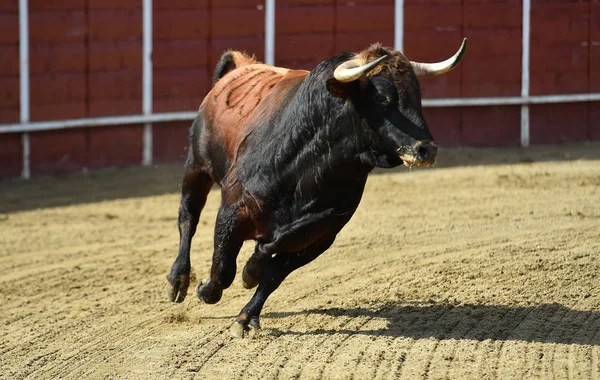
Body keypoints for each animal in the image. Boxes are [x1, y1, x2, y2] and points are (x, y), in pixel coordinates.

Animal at [166, 37, 466, 336]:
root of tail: (240, 66)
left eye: (417, 95)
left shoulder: (323, 234)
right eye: (381, 97)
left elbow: (274, 272)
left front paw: (247, 309)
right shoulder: (233, 210)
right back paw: (178, 281)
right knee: (188, 217)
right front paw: (207, 289)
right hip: (197, 166)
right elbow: (224, 266)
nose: (426, 149)